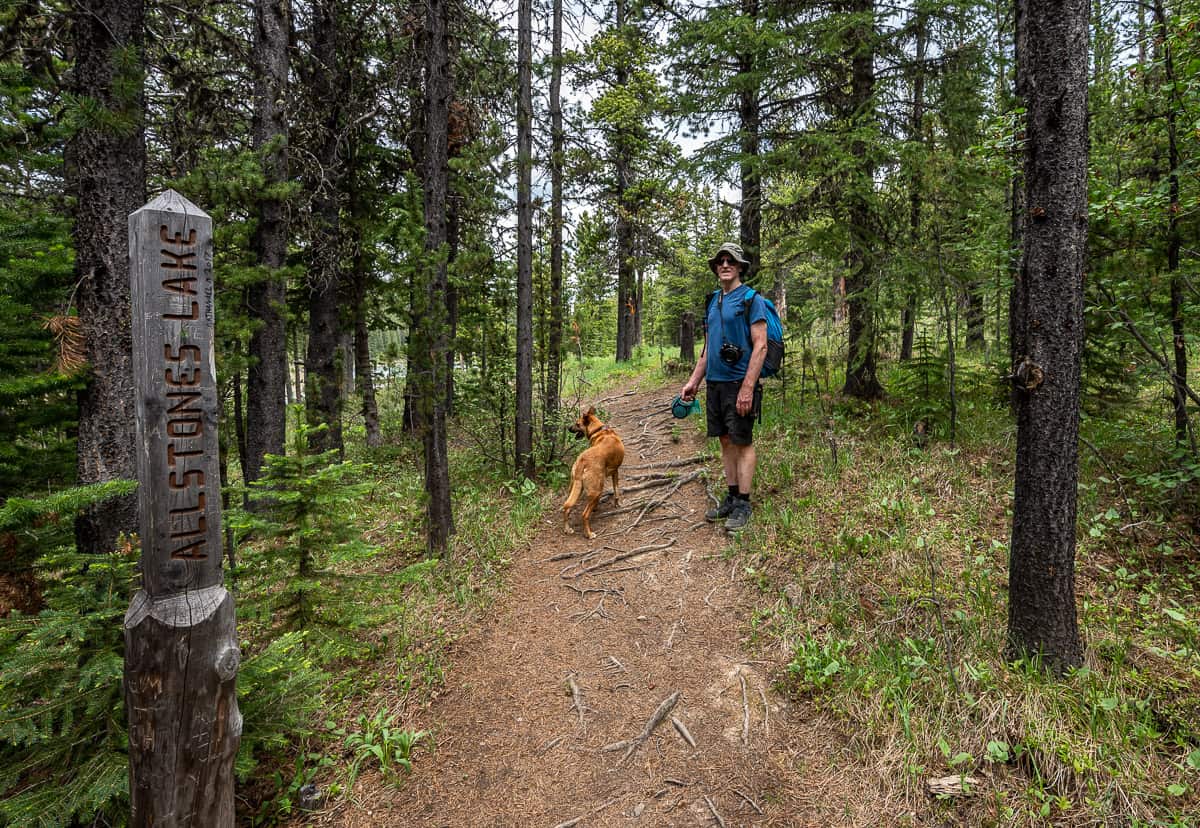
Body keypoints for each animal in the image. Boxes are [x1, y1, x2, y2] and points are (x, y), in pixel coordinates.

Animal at [561, 403, 624, 537]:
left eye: (577, 423)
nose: (568, 428)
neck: (599, 430)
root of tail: (582, 460)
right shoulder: (615, 471)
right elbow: (616, 490)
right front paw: (617, 504)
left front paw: (596, 507)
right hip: (597, 490)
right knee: (584, 514)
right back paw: (589, 534)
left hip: (575, 488)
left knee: (567, 507)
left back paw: (567, 529)